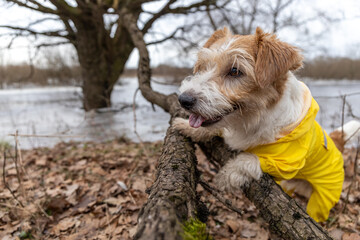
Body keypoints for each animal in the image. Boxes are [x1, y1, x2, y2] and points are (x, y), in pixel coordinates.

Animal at [173, 26, 358, 223]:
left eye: (235, 71)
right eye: (203, 67)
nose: (183, 100)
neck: (254, 118)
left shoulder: (288, 162)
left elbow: (250, 159)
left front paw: (226, 176)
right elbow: (213, 129)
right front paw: (186, 126)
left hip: (322, 199)